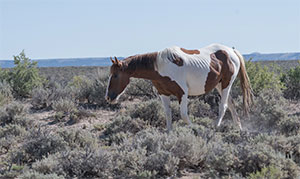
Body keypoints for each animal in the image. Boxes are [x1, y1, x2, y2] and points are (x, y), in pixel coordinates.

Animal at [104, 43, 252, 130]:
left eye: (115, 75)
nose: (108, 97)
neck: (161, 66)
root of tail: (232, 51)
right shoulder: (163, 93)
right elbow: (168, 114)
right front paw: (169, 134)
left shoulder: (182, 93)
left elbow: (184, 115)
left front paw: (196, 129)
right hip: (220, 85)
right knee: (231, 104)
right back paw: (238, 128)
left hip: (227, 83)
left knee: (224, 106)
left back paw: (215, 127)